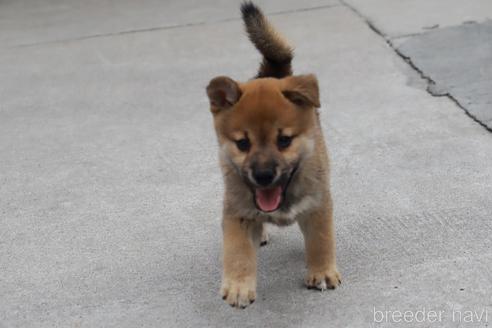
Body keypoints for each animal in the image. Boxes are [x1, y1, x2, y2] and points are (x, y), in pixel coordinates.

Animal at [206, 1, 340, 308]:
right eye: (243, 143)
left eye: (284, 140)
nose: (264, 175)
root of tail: (272, 74)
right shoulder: (237, 212)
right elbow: (237, 251)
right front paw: (238, 286)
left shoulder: (318, 204)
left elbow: (320, 241)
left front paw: (322, 272)